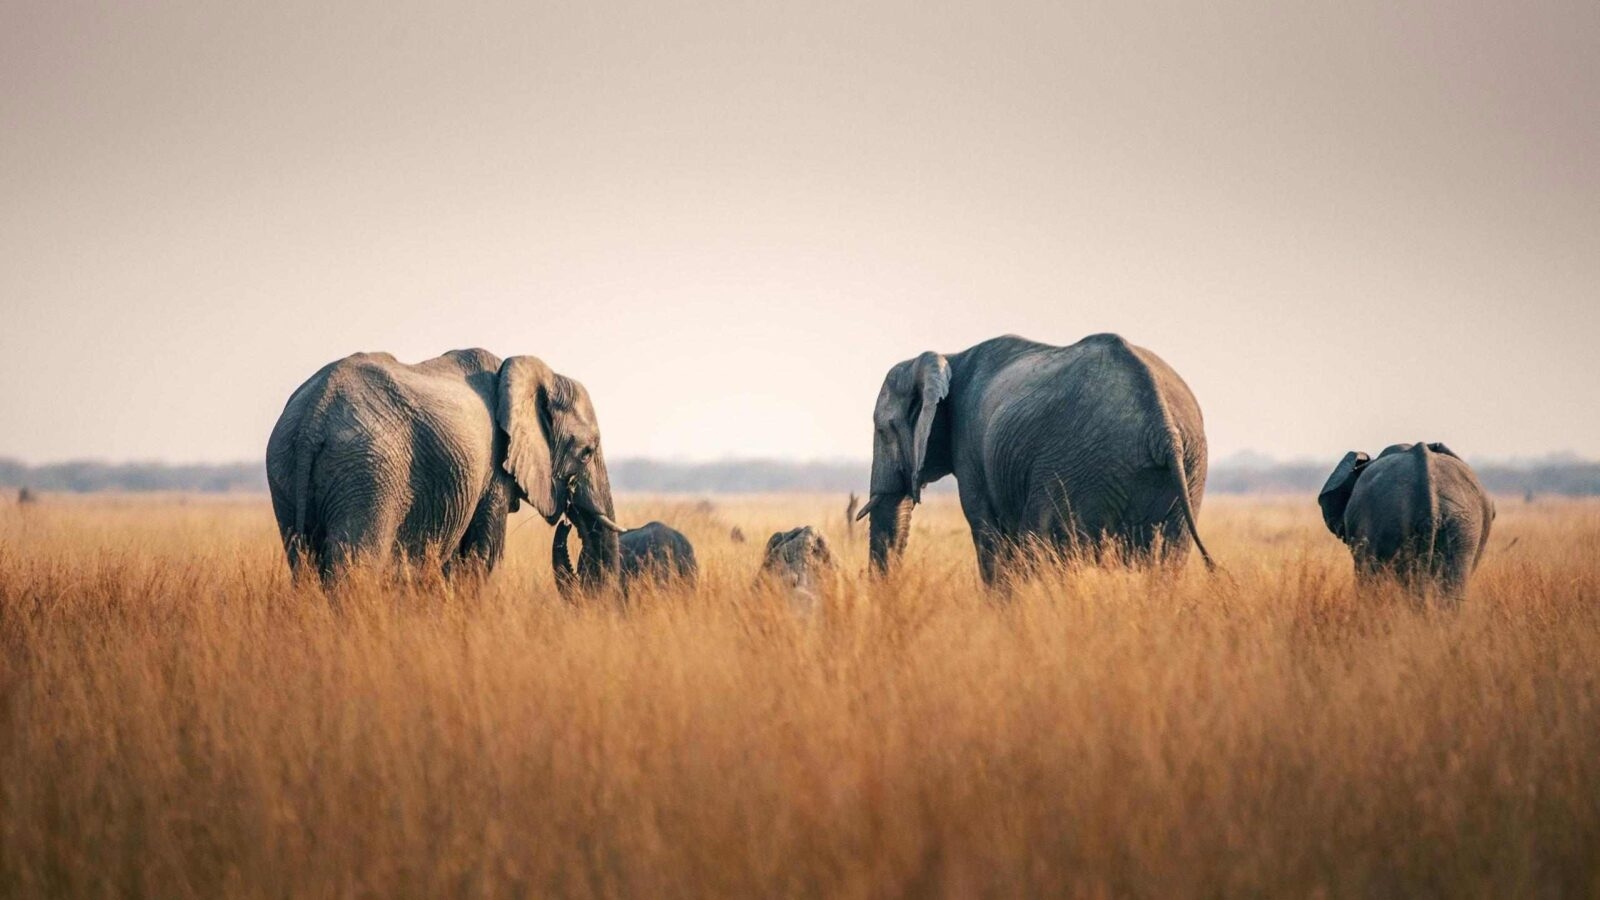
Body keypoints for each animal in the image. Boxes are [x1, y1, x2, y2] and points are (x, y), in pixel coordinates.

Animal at [266, 349, 621, 586]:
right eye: (587, 452)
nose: (567, 523)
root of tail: (313, 416)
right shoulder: (493, 469)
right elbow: (483, 558)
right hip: (367, 472)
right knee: (354, 568)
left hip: (284, 469)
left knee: (303, 561)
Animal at [856, 333, 1213, 586]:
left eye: (883, 430)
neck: (950, 357)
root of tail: (1162, 425)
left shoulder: (969, 446)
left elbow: (987, 533)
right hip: (1186, 473)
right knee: (1166, 562)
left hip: (1080, 468)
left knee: (1050, 549)